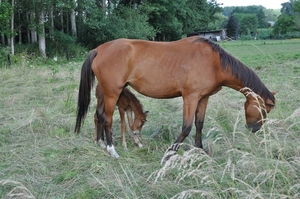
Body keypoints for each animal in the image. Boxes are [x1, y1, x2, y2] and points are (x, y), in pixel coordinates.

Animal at [74, 36, 276, 161]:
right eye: (264, 110)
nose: (254, 129)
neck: (214, 62)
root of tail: (99, 49)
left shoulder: (203, 98)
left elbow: (199, 124)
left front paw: (200, 149)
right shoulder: (190, 97)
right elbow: (186, 127)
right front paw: (170, 153)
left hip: (106, 93)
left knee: (99, 115)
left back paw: (101, 143)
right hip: (112, 93)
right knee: (107, 118)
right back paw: (112, 150)